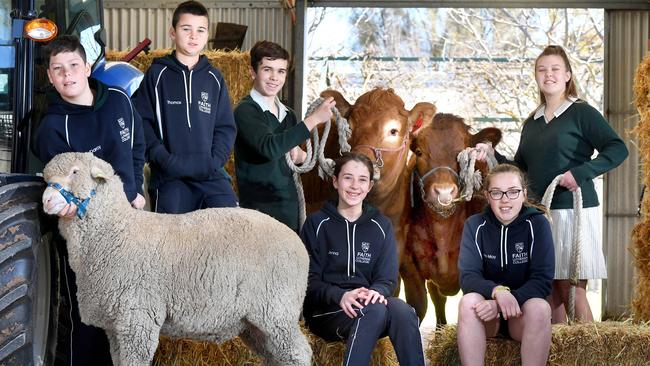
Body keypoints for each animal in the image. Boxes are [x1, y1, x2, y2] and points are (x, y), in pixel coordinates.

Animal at [41, 152, 312, 366]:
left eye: (75, 172)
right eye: (46, 179)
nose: (45, 200)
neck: (116, 231)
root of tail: (297, 241)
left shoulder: (137, 318)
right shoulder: (114, 327)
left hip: (277, 311)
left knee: (300, 353)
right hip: (255, 323)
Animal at [402, 113, 498, 324]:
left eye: (461, 153)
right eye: (419, 152)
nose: (444, 192)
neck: (442, 230)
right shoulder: (410, 268)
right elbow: (418, 307)